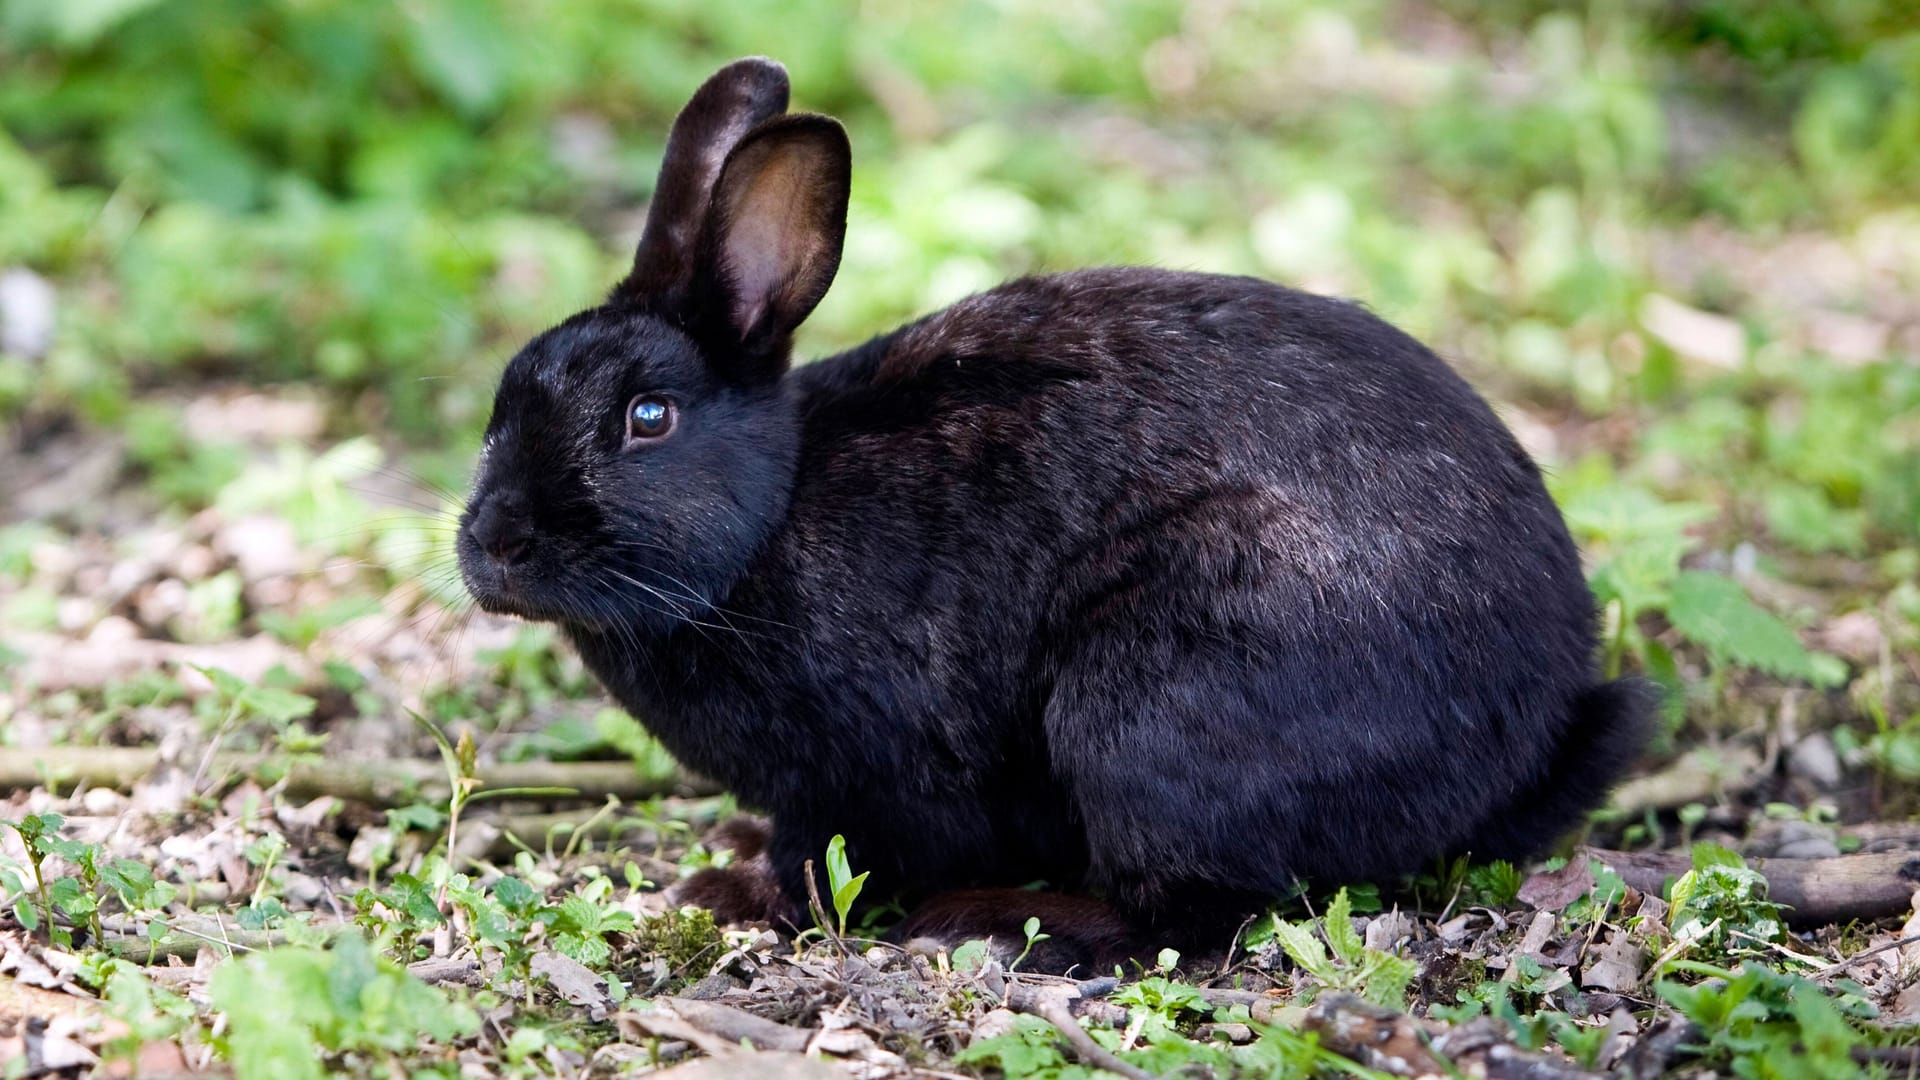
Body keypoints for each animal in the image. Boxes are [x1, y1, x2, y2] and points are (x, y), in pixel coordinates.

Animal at [460, 56, 1651, 968]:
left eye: (647, 418)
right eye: (501, 404)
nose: (493, 548)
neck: (771, 516)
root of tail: (1530, 731)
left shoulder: (864, 775)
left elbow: (837, 858)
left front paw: (731, 894)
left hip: (1153, 697)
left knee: (1194, 914)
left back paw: (996, 923)